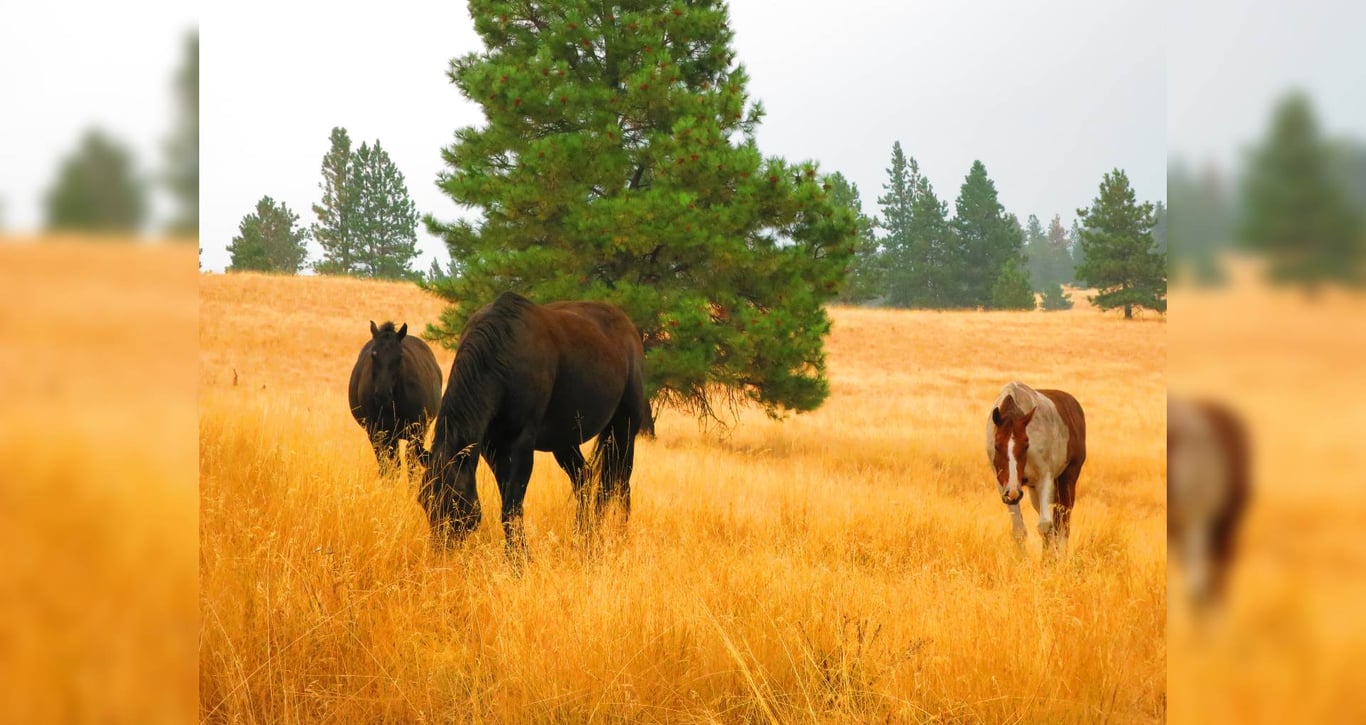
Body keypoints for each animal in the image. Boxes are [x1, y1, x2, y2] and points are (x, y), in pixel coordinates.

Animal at [348, 321, 443, 474]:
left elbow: (411, 464)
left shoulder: (416, 432)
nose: (382, 395)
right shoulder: (377, 433)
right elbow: (388, 466)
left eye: (399, 356)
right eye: (373, 354)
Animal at [422, 292, 651, 556]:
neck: (502, 351)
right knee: (584, 479)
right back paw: (583, 537)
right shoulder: (492, 446)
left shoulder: (521, 443)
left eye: (456, 497)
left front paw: (518, 559)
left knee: (619, 484)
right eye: (423, 499)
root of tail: (629, 326)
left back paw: (617, 535)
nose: (440, 549)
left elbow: (512, 507)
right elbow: (508, 502)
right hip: (565, 441)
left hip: (624, 429)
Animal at [985, 381, 1087, 556]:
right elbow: (1019, 530)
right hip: (1034, 492)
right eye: (997, 445)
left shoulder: (1044, 480)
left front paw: (1048, 560)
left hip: (1067, 481)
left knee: (1063, 523)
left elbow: (1045, 526)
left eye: (1026, 445)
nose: (1013, 492)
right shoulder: (1005, 486)